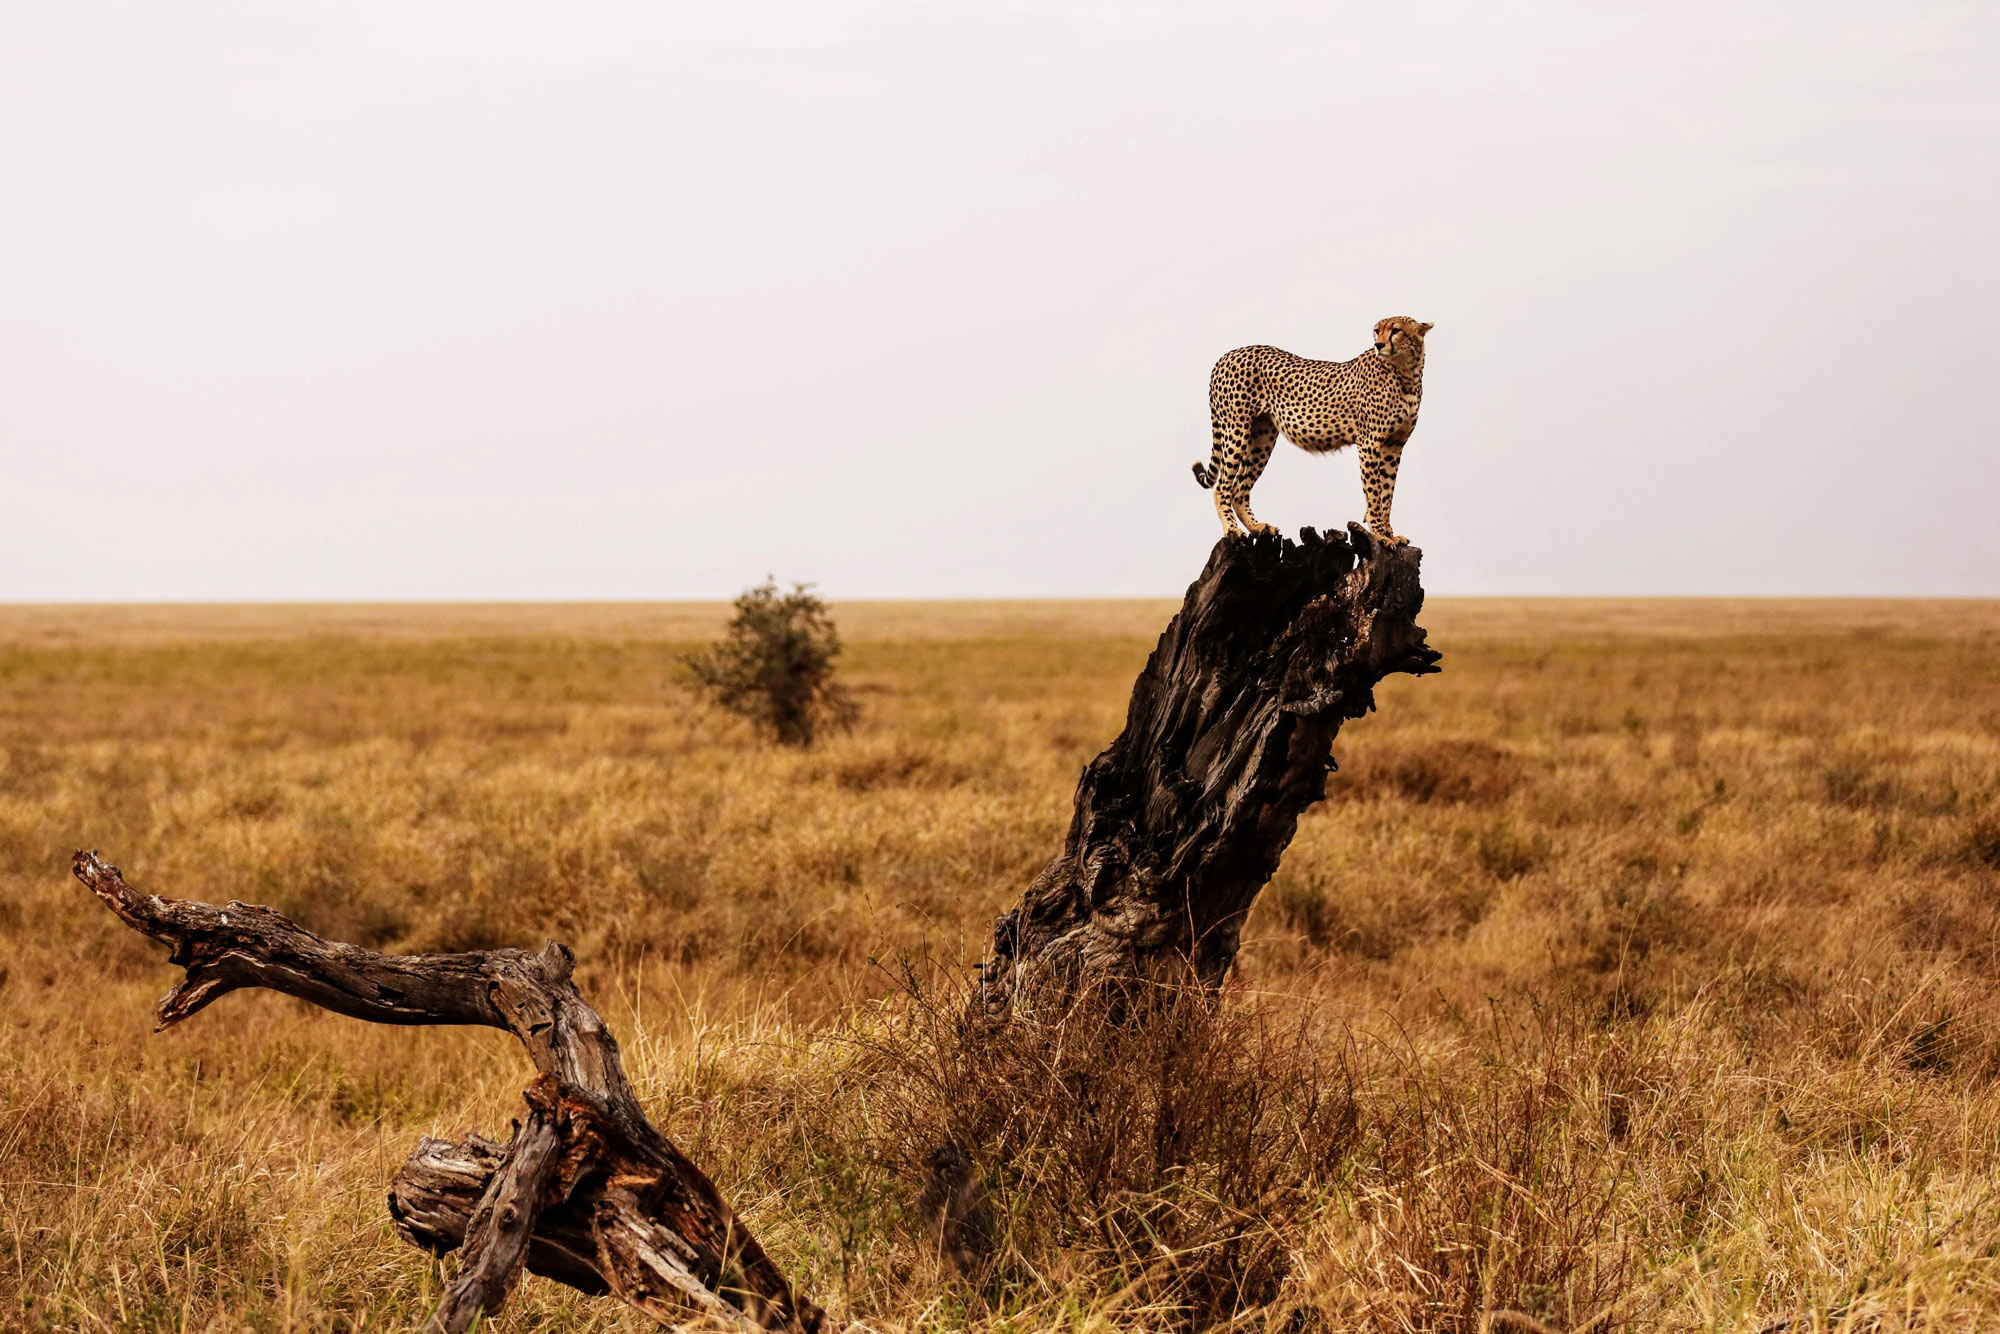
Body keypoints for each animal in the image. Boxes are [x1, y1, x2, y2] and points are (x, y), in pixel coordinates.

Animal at [1192, 318, 1432, 544]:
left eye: (1396, 330)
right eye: (1377, 331)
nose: (1379, 345)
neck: (1405, 372)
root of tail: (1228, 355)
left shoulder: (1394, 445)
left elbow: (1387, 493)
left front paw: (1391, 534)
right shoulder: (1369, 442)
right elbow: (1374, 492)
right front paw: (1380, 535)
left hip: (1263, 437)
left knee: (1239, 490)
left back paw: (1258, 527)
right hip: (1236, 429)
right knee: (1222, 488)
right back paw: (1232, 529)